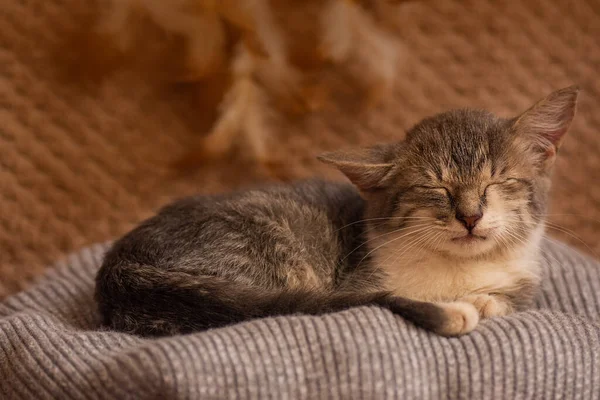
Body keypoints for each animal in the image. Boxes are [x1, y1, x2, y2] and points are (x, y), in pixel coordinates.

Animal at [96, 86, 580, 338]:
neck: (457, 272)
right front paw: (470, 303)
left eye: (497, 182)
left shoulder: (524, 281)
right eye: (434, 188)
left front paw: (489, 298)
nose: (470, 216)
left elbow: (513, 298)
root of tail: (121, 270)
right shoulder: (361, 281)